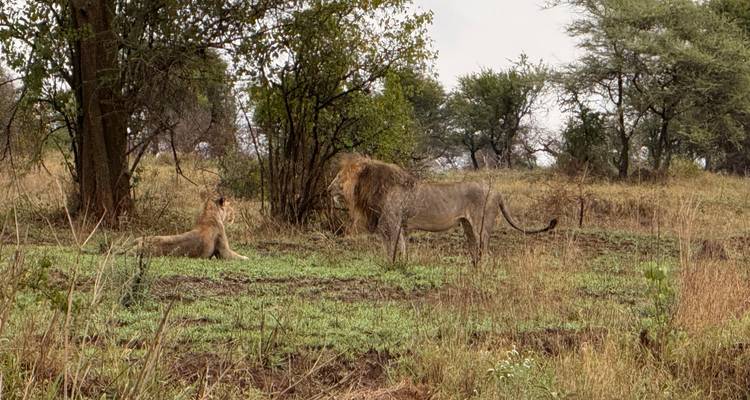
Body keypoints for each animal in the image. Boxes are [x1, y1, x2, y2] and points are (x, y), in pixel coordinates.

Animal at [328, 155, 557, 263]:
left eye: (341, 176)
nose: (328, 188)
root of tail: (497, 191)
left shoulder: (391, 223)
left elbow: (390, 249)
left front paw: (389, 266)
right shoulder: (400, 225)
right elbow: (402, 248)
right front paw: (402, 265)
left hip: (481, 226)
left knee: (486, 253)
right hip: (468, 227)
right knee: (476, 251)